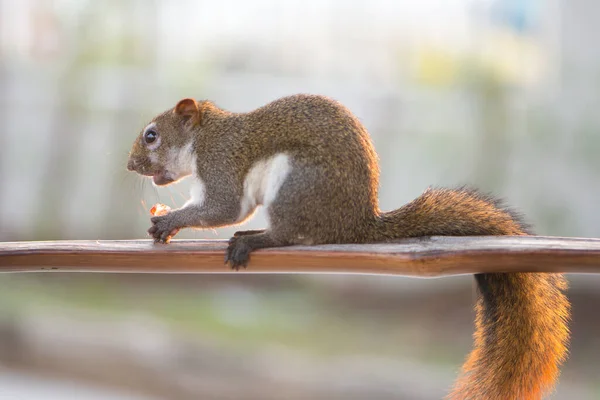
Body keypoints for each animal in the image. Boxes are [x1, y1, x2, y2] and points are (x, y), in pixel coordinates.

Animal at [125, 94, 568, 400]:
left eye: (152, 136)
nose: (129, 166)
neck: (204, 138)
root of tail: (358, 222)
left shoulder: (221, 164)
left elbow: (223, 209)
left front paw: (168, 221)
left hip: (296, 183)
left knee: (294, 235)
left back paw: (255, 240)